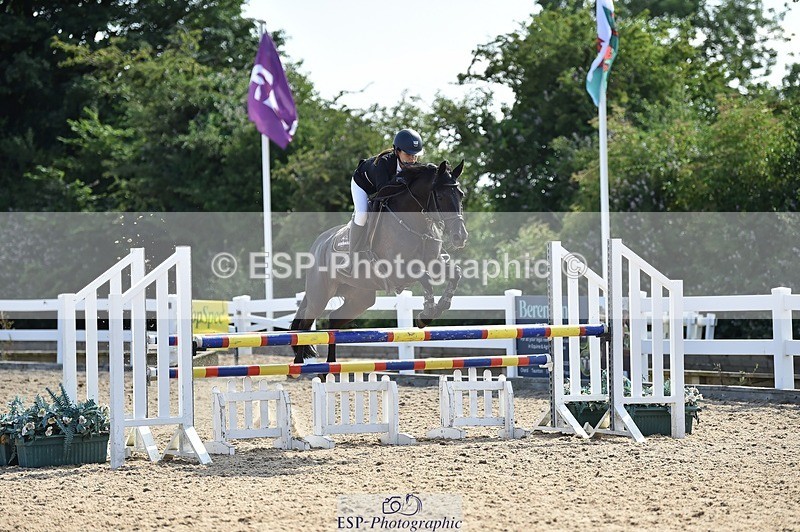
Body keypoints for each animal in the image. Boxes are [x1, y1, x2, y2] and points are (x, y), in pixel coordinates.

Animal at [290, 160, 468, 363]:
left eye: (461, 195)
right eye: (439, 195)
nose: (460, 236)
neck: (415, 224)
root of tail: (319, 243)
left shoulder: (435, 263)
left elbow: (455, 274)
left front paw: (441, 306)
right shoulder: (398, 271)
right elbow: (424, 277)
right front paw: (427, 313)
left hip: (360, 297)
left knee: (334, 319)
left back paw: (331, 365)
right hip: (320, 295)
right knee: (304, 324)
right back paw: (298, 365)